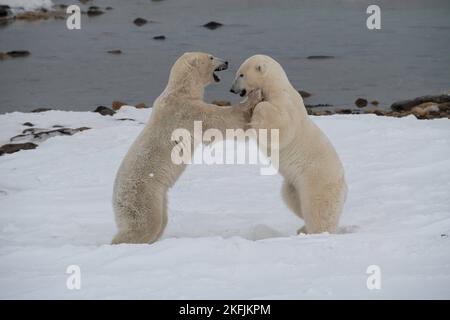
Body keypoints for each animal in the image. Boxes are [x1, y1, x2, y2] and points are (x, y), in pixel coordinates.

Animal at [110, 52, 262, 244]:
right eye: (211, 57)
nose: (226, 61)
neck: (181, 90)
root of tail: (116, 201)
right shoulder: (188, 111)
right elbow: (221, 120)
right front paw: (253, 97)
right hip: (142, 195)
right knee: (146, 224)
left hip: (158, 196)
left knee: (161, 221)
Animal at [230, 55, 346, 234]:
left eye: (241, 74)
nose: (232, 89)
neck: (276, 86)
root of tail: (345, 188)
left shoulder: (286, 103)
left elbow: (281, 128)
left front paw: (259, 104)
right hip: (293, 185)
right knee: (293, 201)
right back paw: (302, 228)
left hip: (317, 179)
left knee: (318, 209)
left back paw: (317, 232)